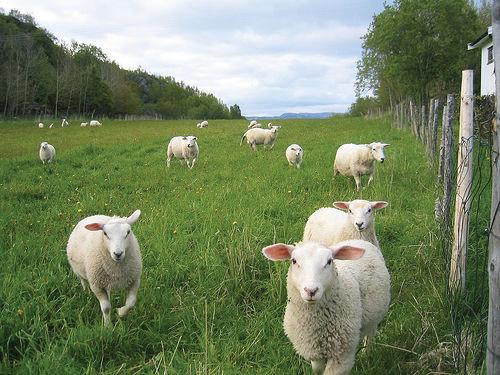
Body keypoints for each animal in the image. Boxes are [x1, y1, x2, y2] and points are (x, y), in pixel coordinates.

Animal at [264, 242, 388, 374]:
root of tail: (359, 241)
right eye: (294, 261)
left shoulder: (342, 354)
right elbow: (317, 369)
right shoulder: (314, 350)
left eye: (329, 261)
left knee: (370, 335)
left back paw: (366, 354)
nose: (311, 290)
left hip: (375, 317)